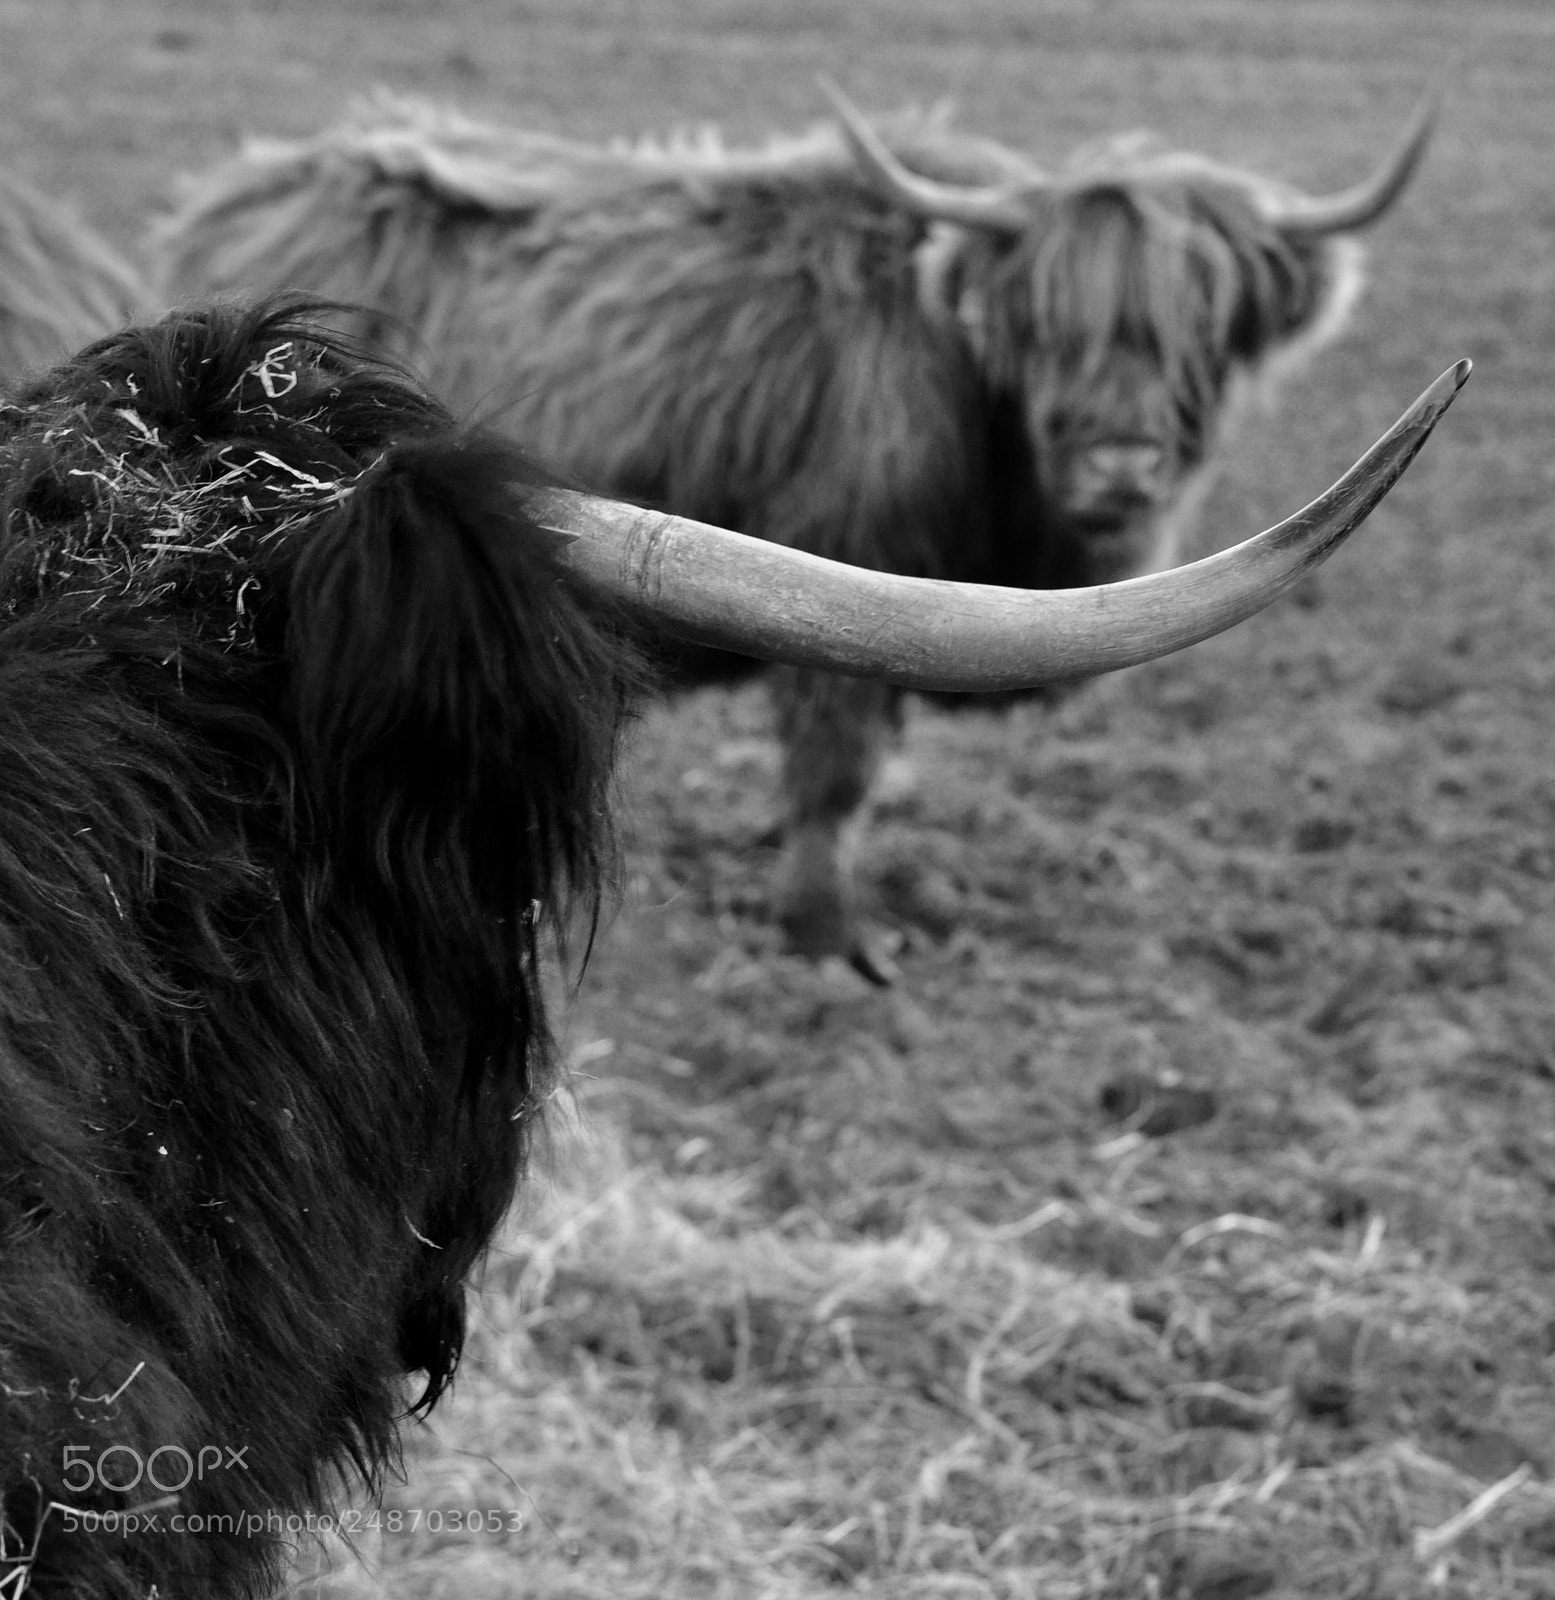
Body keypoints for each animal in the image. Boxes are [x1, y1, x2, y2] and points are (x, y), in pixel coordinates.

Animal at [151, 85, 1434, 979]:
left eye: (1201, 326)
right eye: (1043, 322)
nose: (1121, 463)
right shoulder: (853, 581)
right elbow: (837, 769)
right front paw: (824, 934)